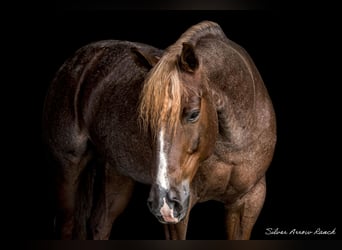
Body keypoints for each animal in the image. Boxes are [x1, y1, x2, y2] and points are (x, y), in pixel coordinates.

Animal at [42, 20, 276, 239]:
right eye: (147, 118)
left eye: (193, 113)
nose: (163, 202)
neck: (233, 145)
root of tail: (79, 61)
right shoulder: (180, 212)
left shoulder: (249, 201)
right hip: (67, 169)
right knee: (66, 225)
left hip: (117, 175)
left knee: (100, 225)